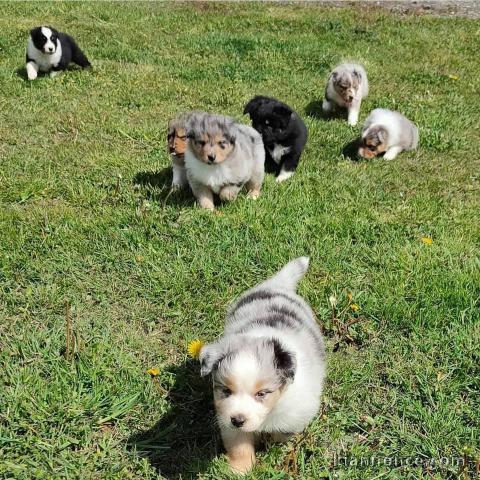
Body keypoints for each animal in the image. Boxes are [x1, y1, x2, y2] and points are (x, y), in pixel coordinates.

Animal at [199, 256, 326, 474]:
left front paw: (270, 445)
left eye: (261, 393)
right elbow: (239, 445)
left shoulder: (296, 413)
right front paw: (239, 471)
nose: (238, 419)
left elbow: (281, 433)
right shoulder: (227, 419)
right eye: (226, 391)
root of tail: (278, 285)